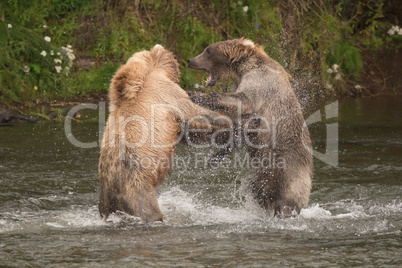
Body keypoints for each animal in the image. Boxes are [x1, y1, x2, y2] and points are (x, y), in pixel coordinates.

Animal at [98, 44, 229, 222]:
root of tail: (111, 191)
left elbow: (188, 132)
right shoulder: (168, 94)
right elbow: (195, 115)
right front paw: (226, 122)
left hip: (105, 201)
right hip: (136, 188)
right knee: (149, 209)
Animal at [188, 38, 314, 218]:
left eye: (208, 51)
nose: (190, 60)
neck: (242, 70)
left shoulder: (260, 83)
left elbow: (241, 101)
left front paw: (194, 94)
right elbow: (240, 130)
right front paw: (214, 157)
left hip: (290, 172)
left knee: (287, 201)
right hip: (264, 174)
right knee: (259, 191)